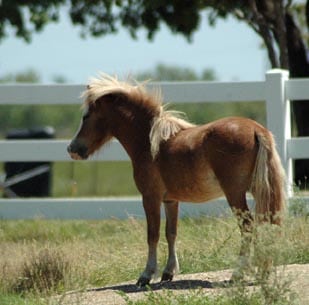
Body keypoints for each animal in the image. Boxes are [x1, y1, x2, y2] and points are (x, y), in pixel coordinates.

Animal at [67, 73, 284, 284]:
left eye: (86, 116)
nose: (72, 149)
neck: (150, 143)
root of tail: (256, 130)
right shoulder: (171, 200)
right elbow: (171, 233)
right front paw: (168, 272)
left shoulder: (150, 197)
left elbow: (152, 234)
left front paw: (146, 275)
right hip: (259, 191)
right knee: (265, 224)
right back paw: (262, 272)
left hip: (235, 194)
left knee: (247, 227)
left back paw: (238, 274)